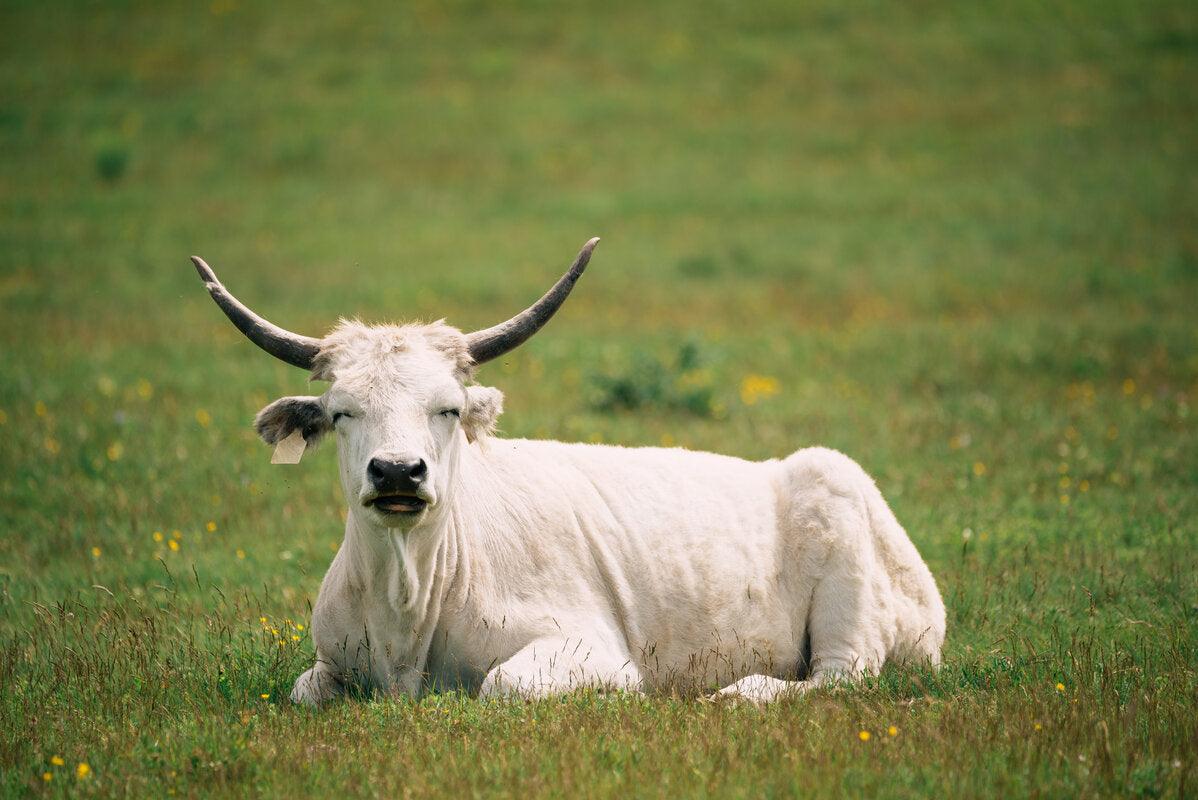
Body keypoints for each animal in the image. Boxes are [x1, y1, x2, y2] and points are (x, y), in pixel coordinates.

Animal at [191, 238, 945, 706]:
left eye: (448, 408)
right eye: (342, 411)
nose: (398, 473)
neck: (406, 607)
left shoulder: (589, 651)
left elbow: (501, 685)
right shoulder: (327, 661)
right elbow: (304, 690)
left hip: (850, 578)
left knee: (840, 678)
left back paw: (737, 692)